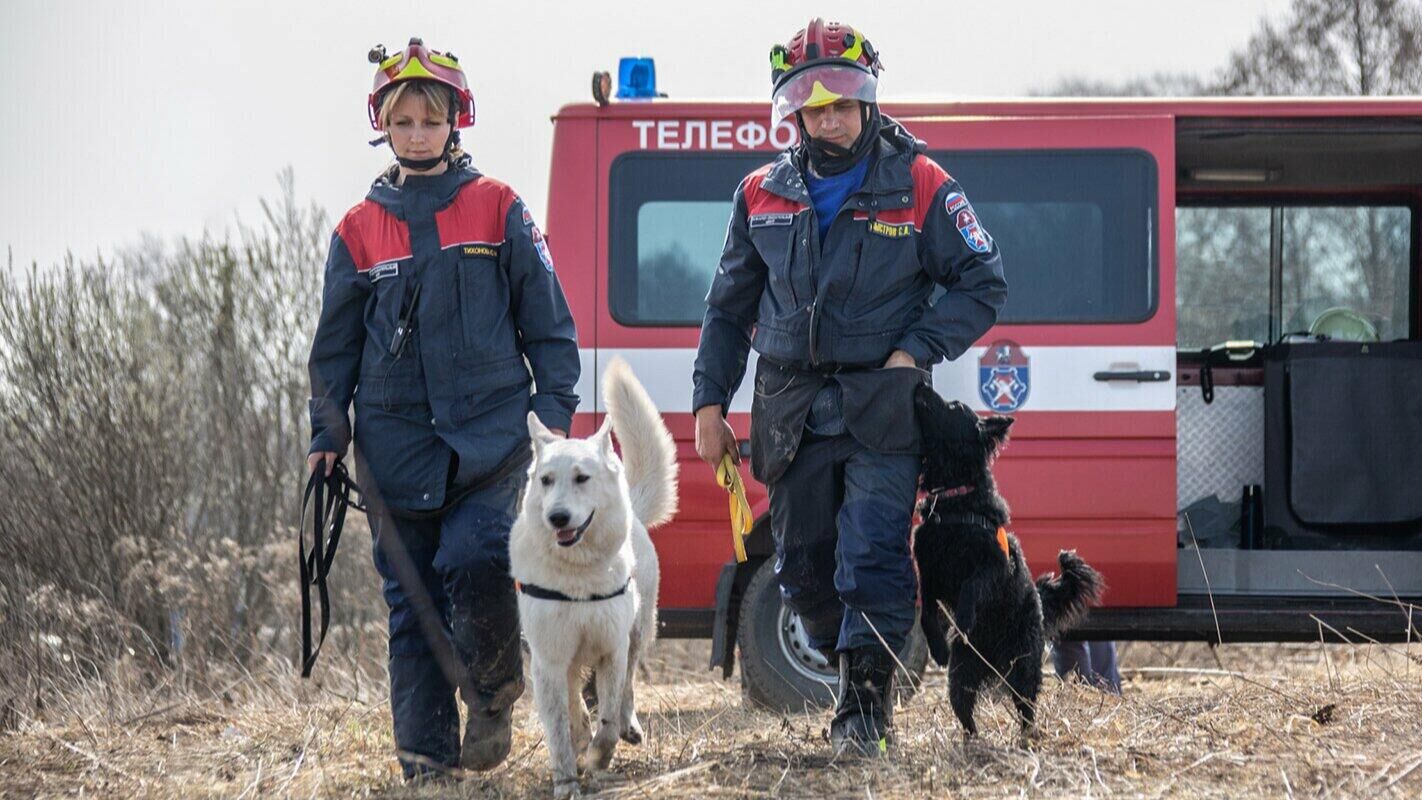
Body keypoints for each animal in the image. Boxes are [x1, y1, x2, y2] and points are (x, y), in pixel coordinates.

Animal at [511, 359, 676, 795]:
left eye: (582, 478)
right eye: (546, 480)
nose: (557, 518)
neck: (577, 577)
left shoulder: (610, 650)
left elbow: (608, 720)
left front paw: (600, 756)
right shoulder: (549, 659)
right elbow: (561, 725)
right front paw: (567, 779)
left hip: (638, 630)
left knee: (627, 689)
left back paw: (627, 726)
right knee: (577, 702)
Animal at [915, 389, 1103, 738]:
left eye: (953, 406)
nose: (920, 387)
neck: (954, 501)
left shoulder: (994, 568)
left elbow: (971, 587)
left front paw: (963, 621)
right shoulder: (929, 576)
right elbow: (926, 616)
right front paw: (938, 648)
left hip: (1024, 667)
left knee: (1026, 707)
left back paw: (1027, 737)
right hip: (961, 673)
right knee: (965, 711)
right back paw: (972, 741)